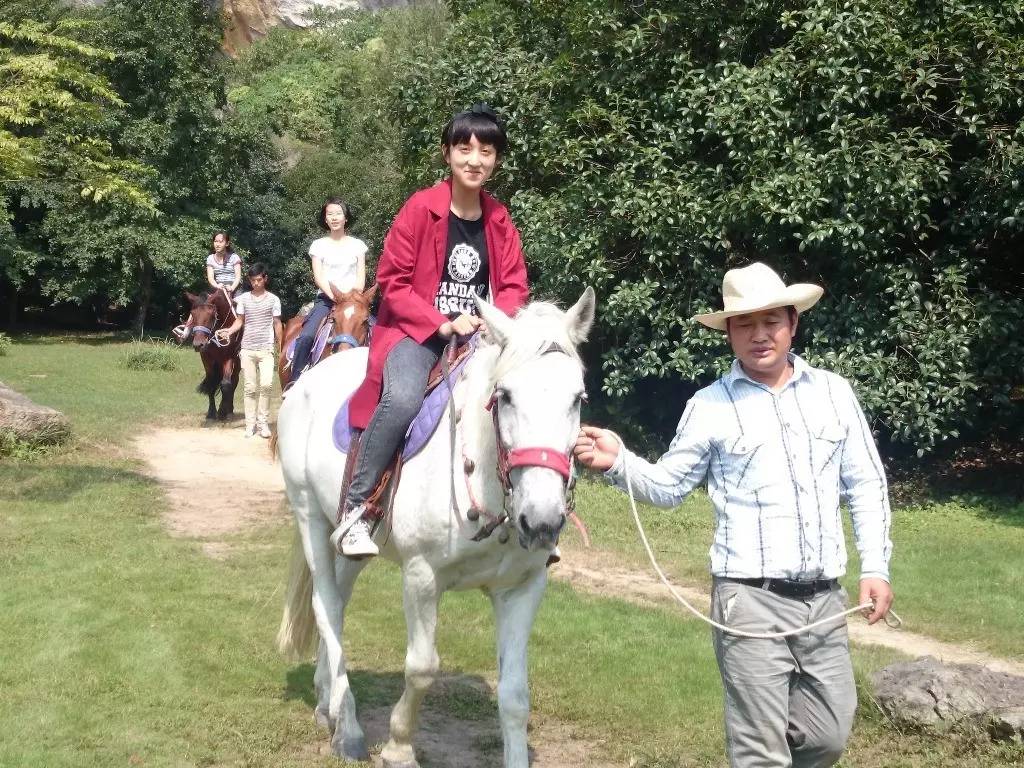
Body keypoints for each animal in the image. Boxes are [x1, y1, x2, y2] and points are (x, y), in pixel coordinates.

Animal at [183, 288, 240, 421]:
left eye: (212, 315)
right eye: (193, 314)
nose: (198, 344)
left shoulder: (229, 357)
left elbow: (226, 384)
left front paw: (222, 411)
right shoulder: (206, 358)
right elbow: (210, 384)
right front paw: (211, 413)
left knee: (234, 382)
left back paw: (229, 410)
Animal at [276, 290, 598, 768]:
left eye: (577, 398)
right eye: (505, 397)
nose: (542, 521)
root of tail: (306, 383)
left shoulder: (522, 587)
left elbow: (515, 695)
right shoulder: (421, 577)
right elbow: (422, 667)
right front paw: (398, 748)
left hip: (350, 541)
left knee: (337, 598)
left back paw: (326, 703)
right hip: (309, 515)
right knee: (327, 605)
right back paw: (348, 729)